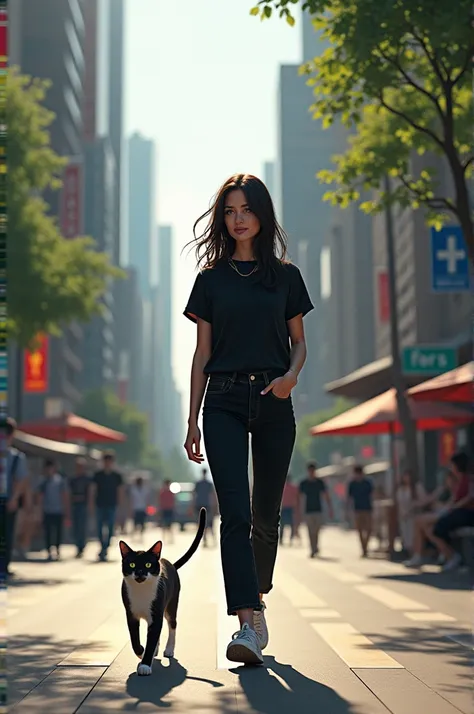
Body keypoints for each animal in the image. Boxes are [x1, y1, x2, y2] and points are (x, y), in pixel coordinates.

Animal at [119, 506, 205, 672]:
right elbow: (134, 638)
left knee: (172, 624)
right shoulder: (130, 613)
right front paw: (142, 652)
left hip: (171, 603)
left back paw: (169, 649)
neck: (142, 591)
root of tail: (171, 564)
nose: (140, 573)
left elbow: (153, 635)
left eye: (148, 564)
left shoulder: (157, 610)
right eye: (132, 564)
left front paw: (145, 664)